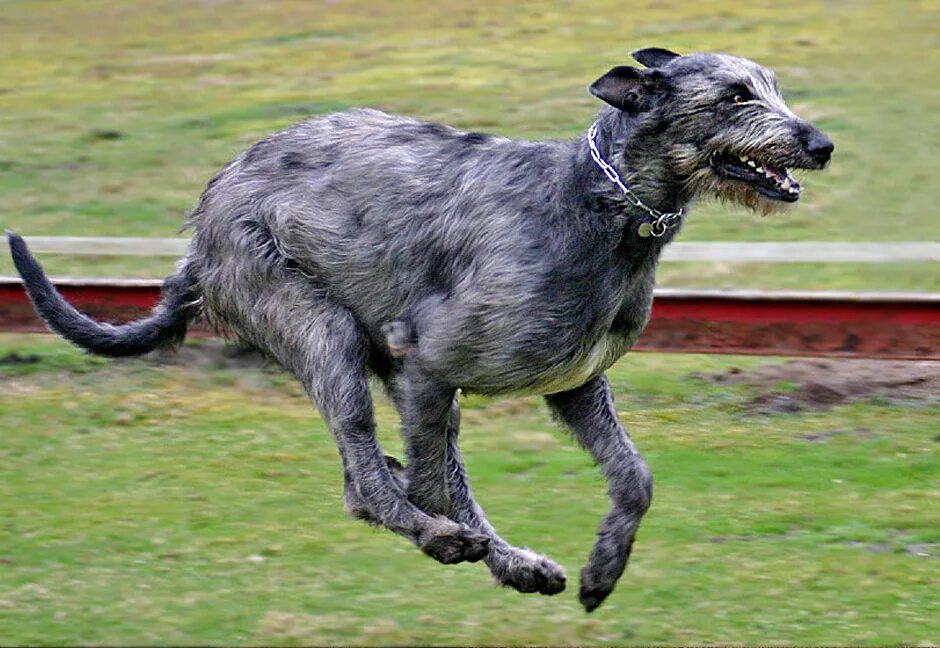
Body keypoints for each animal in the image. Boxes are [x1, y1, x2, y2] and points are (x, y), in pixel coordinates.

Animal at [7, 48, 828, 612]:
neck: (601, 202)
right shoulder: (428, 363)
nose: (820, 145)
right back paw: (444, 535)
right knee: (368, 480)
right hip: (320, 328)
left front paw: (604, 569)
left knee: (374, 477)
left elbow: (636, 477)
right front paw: (455, 533)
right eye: (734, 95)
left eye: (772, 85)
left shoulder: (574, 383)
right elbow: (440, 482)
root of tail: (200, 234)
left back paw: (511, 560)